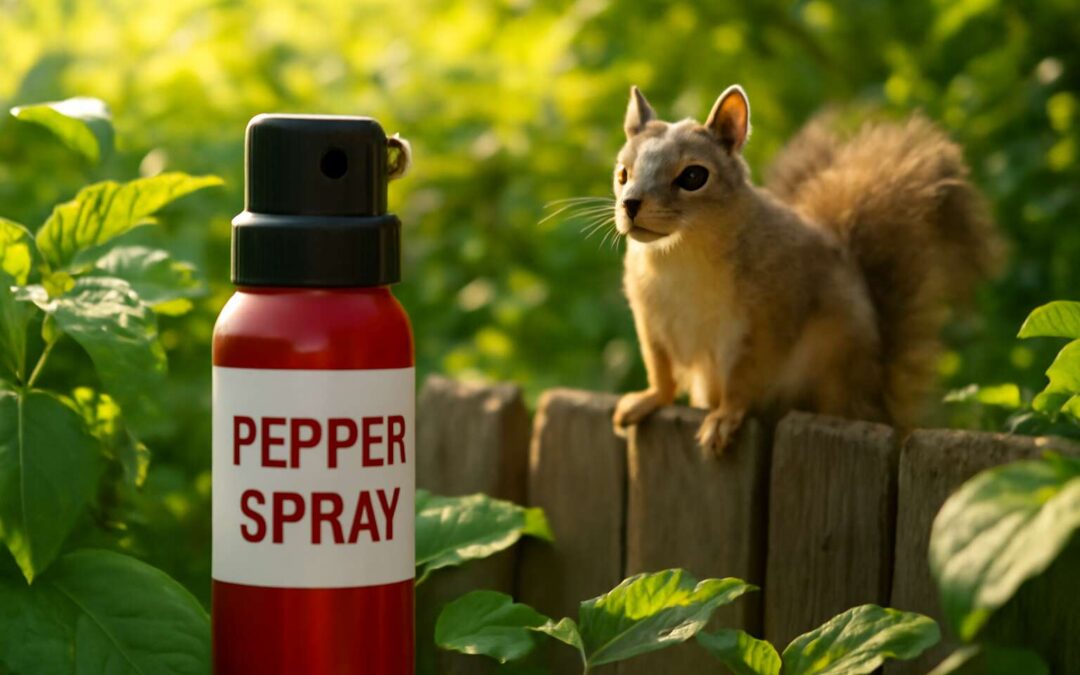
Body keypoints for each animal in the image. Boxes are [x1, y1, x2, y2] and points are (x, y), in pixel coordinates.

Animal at [611, 85, 1003, 453]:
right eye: (622, 173)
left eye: (694, 176)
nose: (630, 204)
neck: (679, 253)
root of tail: (877, 402)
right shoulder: (649, 318)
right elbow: (660, 368)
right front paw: (647, 400)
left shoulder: (768, 317)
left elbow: (744, 378)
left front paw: (724, 419)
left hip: (835, 368)